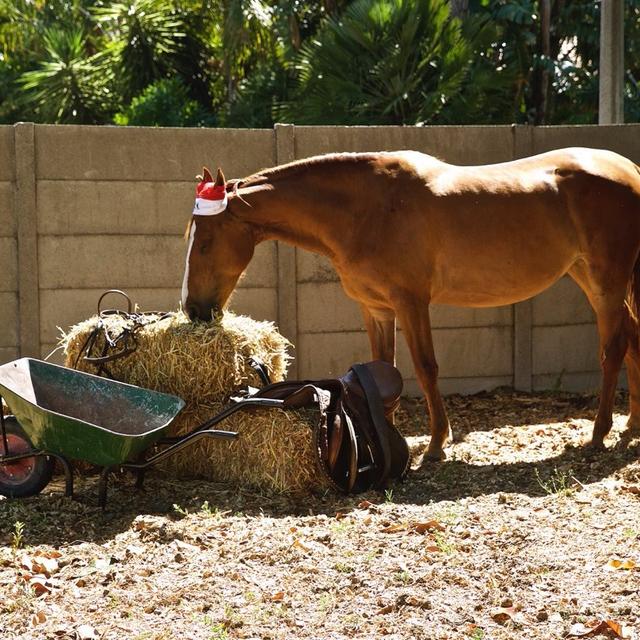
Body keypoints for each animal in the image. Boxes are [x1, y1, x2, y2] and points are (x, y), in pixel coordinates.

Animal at [182, 147, 640, 460]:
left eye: (205, 242)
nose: (193, 309)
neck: (368, 209)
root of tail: (629, 170)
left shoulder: (412, 302)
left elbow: (425, 367)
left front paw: (436, 443)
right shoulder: (377, 309)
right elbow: (382, 369)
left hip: (606, 283)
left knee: (614, 348)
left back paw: (598, 434)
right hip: (590, 278)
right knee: (632, 342)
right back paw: (631, 427)